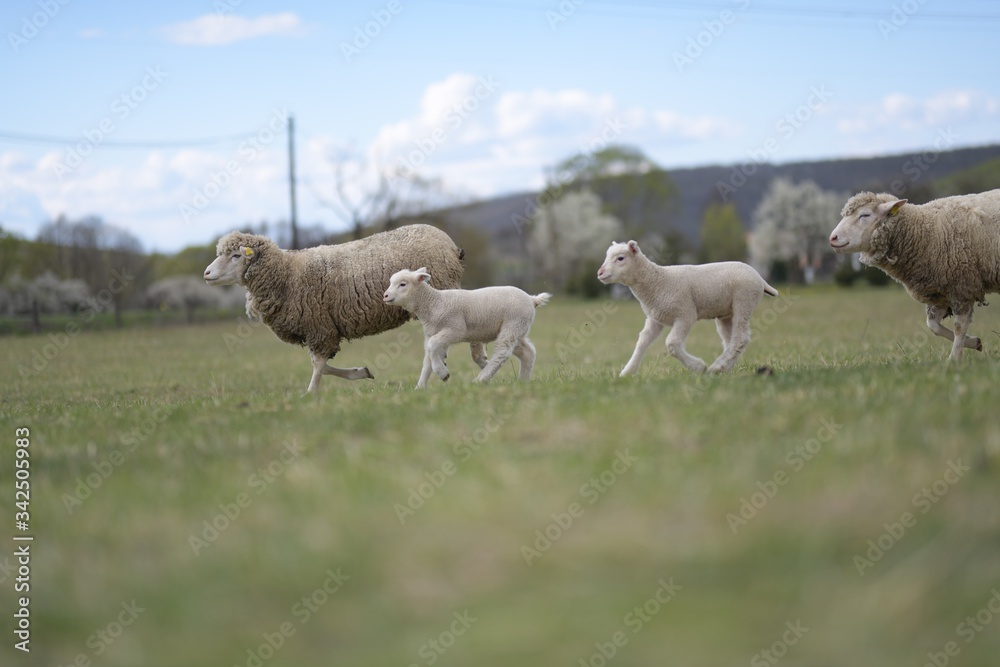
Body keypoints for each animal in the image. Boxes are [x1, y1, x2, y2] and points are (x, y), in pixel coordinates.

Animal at [204, 224, 470, 393]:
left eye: (236, 256)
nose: (206, 273)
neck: (286, 273)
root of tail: (451, 246)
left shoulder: (319, 326)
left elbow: (319, 366)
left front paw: (311, 393)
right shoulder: (318, 330)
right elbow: (322, 365)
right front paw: (361, 372)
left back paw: (427, 379)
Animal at [382, 268, 551, 388]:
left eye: (402, 284)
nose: (385, 296)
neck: (434, 303)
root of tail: (531, 299)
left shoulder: (455, 329)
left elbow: (431, 347)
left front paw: (443, 373)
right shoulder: (433, 333)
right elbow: (428, 358)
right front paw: (420, 387)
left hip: (513, 324)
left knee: (502, 352)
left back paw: (481, 379)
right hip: (518, 328)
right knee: (528, 352)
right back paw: (522, 381)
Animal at [597, 240, 778, 375]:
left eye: (620, 258)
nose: (600, 273)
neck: (657, 281)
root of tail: (761, 279)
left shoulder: (685, 314)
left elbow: (672, 343)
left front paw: (698, 366)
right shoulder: (655, 318)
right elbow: (642, 341)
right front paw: (627, 372)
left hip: (744, 300)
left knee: (740, 338)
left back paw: (716, 367)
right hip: (726, 313)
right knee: (731, 341)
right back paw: (724, 369)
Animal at [829, 189, 1000, 360]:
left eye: (865, 215)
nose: (833, 238)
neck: (926, 232)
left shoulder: (962, 286)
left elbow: (959, 326)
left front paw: (954, 359)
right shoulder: (940, 293)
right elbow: (933, 326)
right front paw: (975, 342)